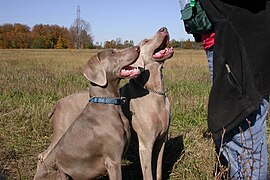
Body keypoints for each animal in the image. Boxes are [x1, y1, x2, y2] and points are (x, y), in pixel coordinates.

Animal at [33, 46, 141, 180]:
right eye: (112, 53)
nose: (138, 47)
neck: (108, 103)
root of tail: (58, 102)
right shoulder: (113, 161)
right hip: (60, 170)